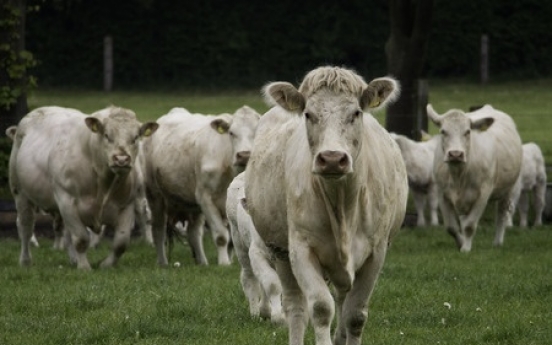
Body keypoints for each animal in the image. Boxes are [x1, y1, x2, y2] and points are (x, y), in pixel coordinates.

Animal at [9, 105, 160, 268]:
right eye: (107, 135)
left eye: (136, 137)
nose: (121, 159)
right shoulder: (66, 200)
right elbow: (81, 239)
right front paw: (84, 267)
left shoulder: (126, 205)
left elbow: (121, 243)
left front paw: (106, 265)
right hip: (20, 192)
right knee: (26, 226)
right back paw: (25, 261)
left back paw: (73, 259)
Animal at [143, 105, 262, 266]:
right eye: (231, 133)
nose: (244, 155)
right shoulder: (205, 198)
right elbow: (221, 236)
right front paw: (224, 263)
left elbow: (232, 239)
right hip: (155, 196)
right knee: (158, 230)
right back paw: (163, 262)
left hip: (192, 205)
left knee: (194, 233)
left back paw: (202, 262)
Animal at [225, 172, 284, 326]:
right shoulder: (256, 253)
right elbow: (272, 284)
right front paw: (279, 317)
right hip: (239, 243)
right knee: (250, 278)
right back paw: (256, 313)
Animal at [244, 66, 408, 344]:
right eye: (309, 114)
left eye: (356, 113)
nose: (332, 158)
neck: (341, 204)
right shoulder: (300, 249)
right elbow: (321, 308)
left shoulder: (376, 253)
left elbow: (355, 315)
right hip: (280, 251)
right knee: (296, 306)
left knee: (342, 299)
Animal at [426, 103, 520, 251]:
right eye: (443, 131)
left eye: (468, 132)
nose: (455, 154)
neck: (459, 174)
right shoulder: (442, 193)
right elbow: (451, 227)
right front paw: (461, 243)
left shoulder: (483, 194)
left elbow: (469, 226)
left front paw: (465, 249)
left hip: (509, 188)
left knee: (502, 213)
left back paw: (497, 242)